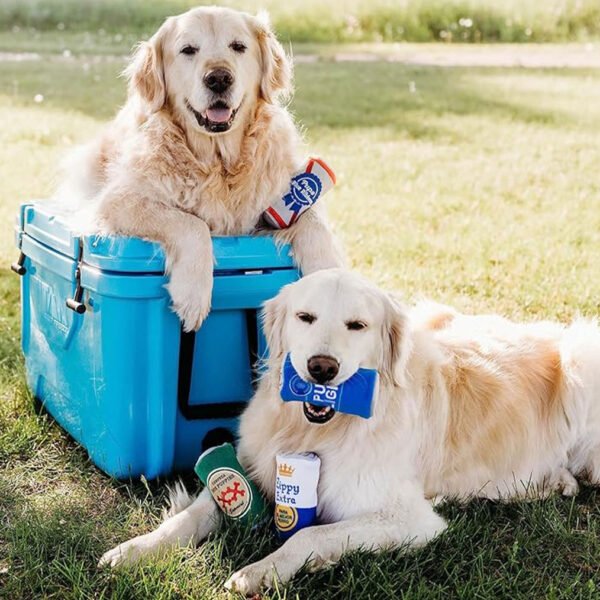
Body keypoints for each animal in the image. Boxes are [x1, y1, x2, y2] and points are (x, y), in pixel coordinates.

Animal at [99, 270, 600, 592]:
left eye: (357, 326)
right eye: (305, 317)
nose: (322, 368)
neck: (318, 432)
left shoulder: (409, 519)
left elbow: (309, 535)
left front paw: (261, 571)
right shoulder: (249, 470)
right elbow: (193, 514)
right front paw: (134, 550)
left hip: (582, 356)